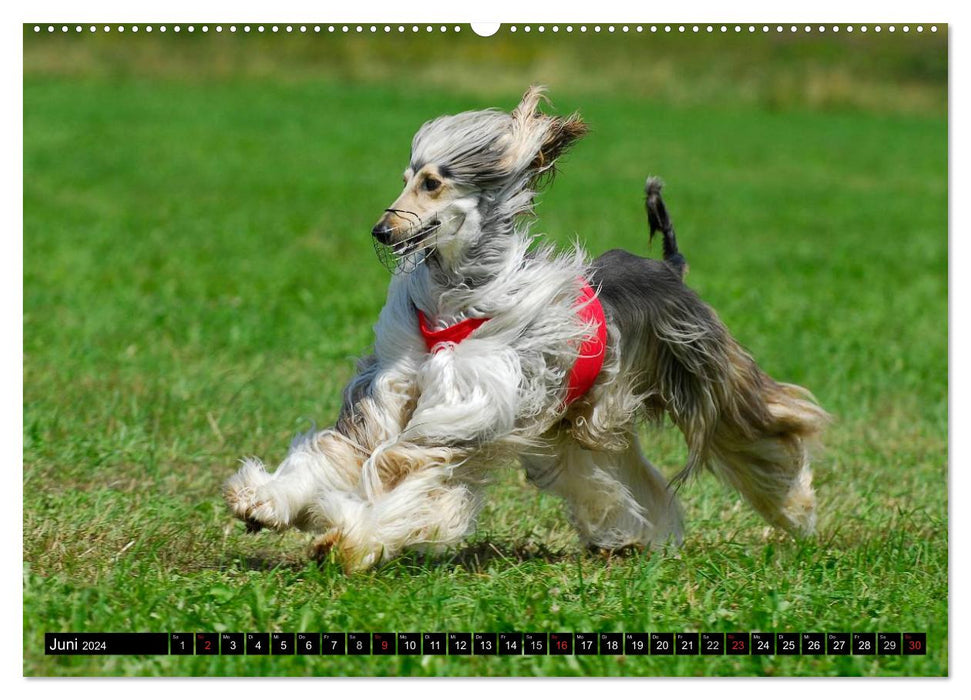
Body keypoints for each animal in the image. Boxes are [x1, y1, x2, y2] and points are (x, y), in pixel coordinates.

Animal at [226, 85, 828, 572]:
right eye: (405, 180)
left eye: (431, 182)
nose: (381, 229)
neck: (453, 301)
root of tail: (669, 268)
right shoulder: (392, 387)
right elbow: (343, 449)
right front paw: (265, 501)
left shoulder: (467, 409)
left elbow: (411, 474)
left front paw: (351, 539)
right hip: (583, 420)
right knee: (615, 476)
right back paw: (630, 537)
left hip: (703, 373)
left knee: (768, 428)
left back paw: (797, 512)